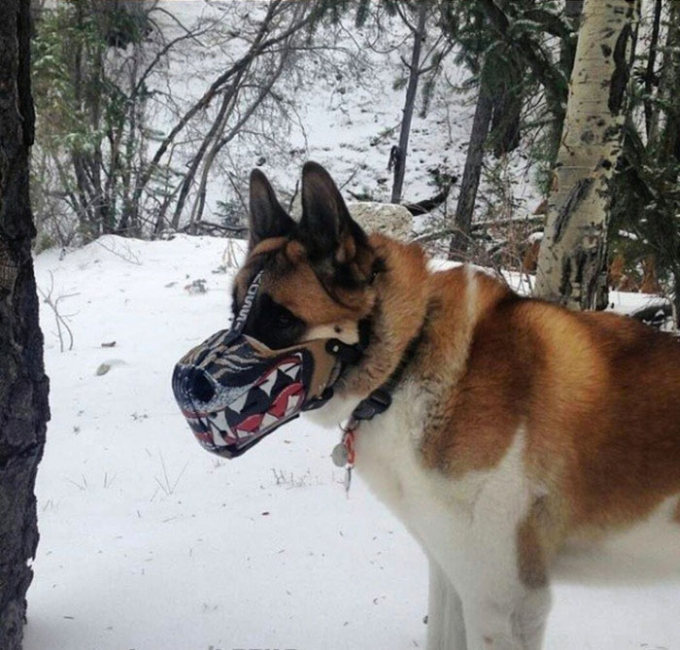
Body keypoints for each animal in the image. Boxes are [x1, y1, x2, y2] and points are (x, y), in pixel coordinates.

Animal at [206, 162, 680, 648]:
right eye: (234, 311)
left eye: (283, 320)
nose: (189, 384)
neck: (407, 362)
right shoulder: (452, 571)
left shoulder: (503, 602)